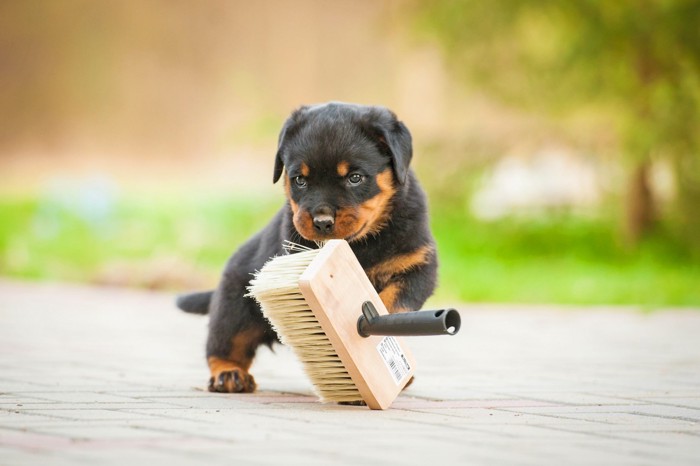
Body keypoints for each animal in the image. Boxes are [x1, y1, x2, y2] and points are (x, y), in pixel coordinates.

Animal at [176, 102, 438, 394]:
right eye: (300, 179)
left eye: (355, 178)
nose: (322, 222)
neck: (360, 245)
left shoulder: (417, 266)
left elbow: (392, 302)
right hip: (234, 308)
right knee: (224, 344)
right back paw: (229, 374)